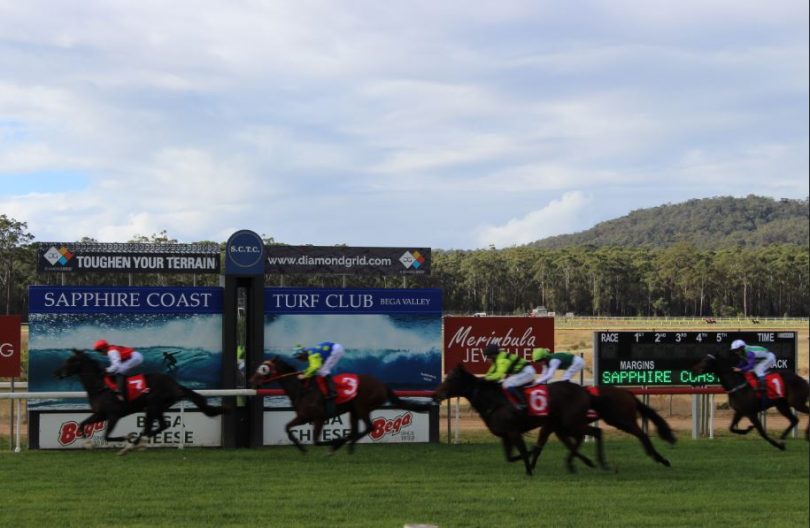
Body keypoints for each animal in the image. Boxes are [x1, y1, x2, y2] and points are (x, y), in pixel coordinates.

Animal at [54, 350, 227, 454]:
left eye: (71, 361)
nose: (56, 373)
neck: (100, 386)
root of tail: (175, 384)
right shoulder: (100, 414)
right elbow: (82, 424)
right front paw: (87, 442)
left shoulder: (114, 415)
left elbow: (107, 436)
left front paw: (127, 439)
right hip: (157, 407)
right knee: (160, 425)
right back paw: (139, 441)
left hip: (153, 405)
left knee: (155, 426)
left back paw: (135, 442)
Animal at [249, 354, 432, 454]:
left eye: (263, 369)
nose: (252, 381)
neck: (303, 389)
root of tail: (383, 385)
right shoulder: (303, 416)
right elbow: (287, 428)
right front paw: (302, 448)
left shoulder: (318, 418)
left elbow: (317, 441)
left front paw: (332, 443)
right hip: (354, 411)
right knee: (357, 430)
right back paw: (347, 445)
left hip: (361, 407)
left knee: (369, 427)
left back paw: (341, 444)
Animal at [432, 366, 604, 476]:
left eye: (451, 378)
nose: (435, 394)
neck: (495, 401)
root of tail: (583, 389)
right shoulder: (505, 435)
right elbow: (510, 457)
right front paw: (531, 459)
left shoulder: (513, 431)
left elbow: (522, 450)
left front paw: (529, 470)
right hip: (560, 425)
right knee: (573, 440)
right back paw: (584, 463)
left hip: (569, 423)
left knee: (590, 433)